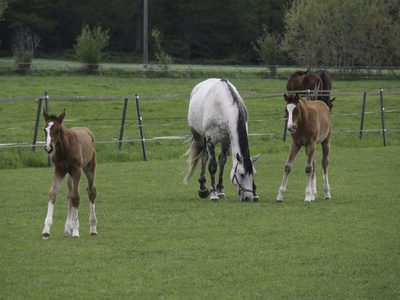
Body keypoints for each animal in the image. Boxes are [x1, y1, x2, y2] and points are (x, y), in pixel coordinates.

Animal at [40, 109, 97, 238]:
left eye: (57, 130)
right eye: (45, 129)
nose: (49, 148)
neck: (64, 149)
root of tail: (88, 131)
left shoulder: (76, 170)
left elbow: (76, 197)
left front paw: (76, 231)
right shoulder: (59, 170)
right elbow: (53, 194)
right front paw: (46, 229)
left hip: (88, 167)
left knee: (91, 191)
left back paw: (93, 228)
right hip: (68, 174)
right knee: (69, 193)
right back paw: (67, 229)